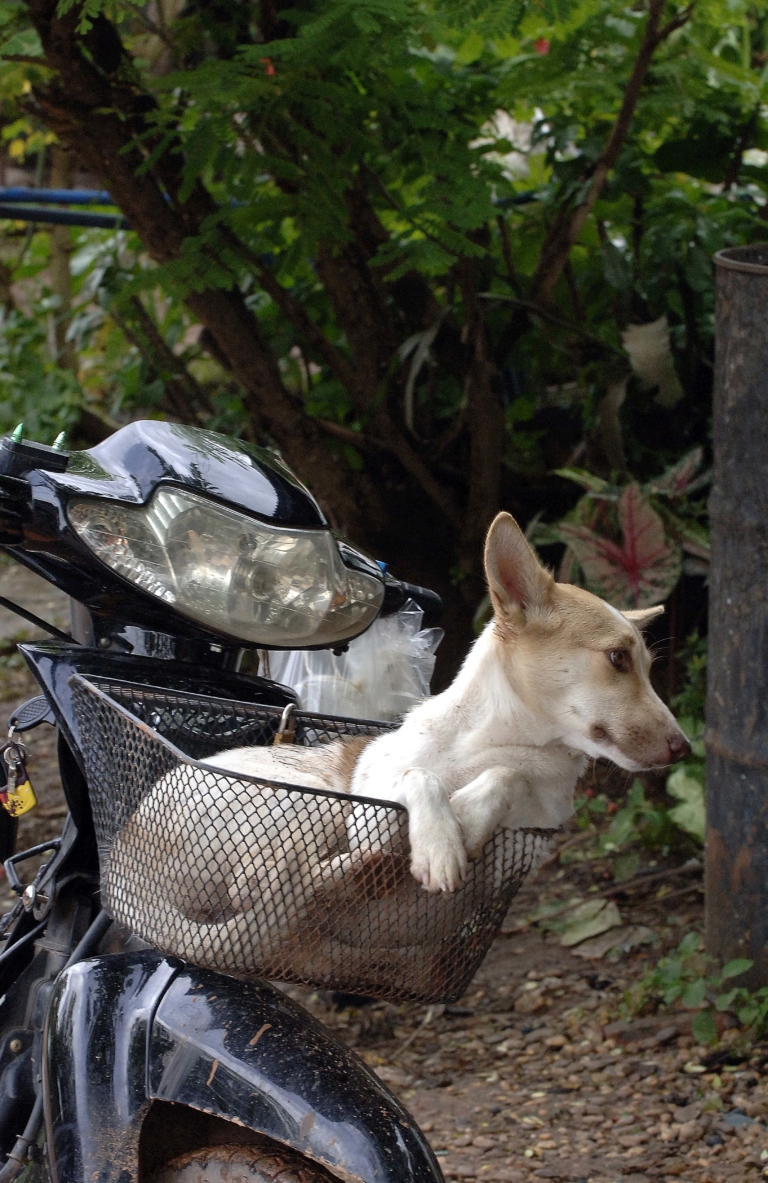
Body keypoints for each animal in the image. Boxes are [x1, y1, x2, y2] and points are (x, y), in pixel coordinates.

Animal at [108, 511, 689, 981]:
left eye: (647, 665)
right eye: (617, 659)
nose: (683, 748)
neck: (495, 744)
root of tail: (122, 857)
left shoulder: (522, 844)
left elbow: (509, 781)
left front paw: (468, 817)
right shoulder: (371, 809)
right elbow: (419, 778)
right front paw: (440, 840)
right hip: (307, 804)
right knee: (269, 883)